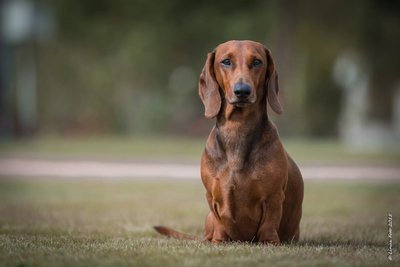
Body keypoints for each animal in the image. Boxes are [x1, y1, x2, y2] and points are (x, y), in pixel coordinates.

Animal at [155, 39, 304, 245]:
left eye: (257, 62)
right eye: (226, 61)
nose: (242, 91)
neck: (237, 128)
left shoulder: (273, 197)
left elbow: (269, 224)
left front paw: (270, 243)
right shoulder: (212, 197)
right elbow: (220, 223)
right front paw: (219, 241)